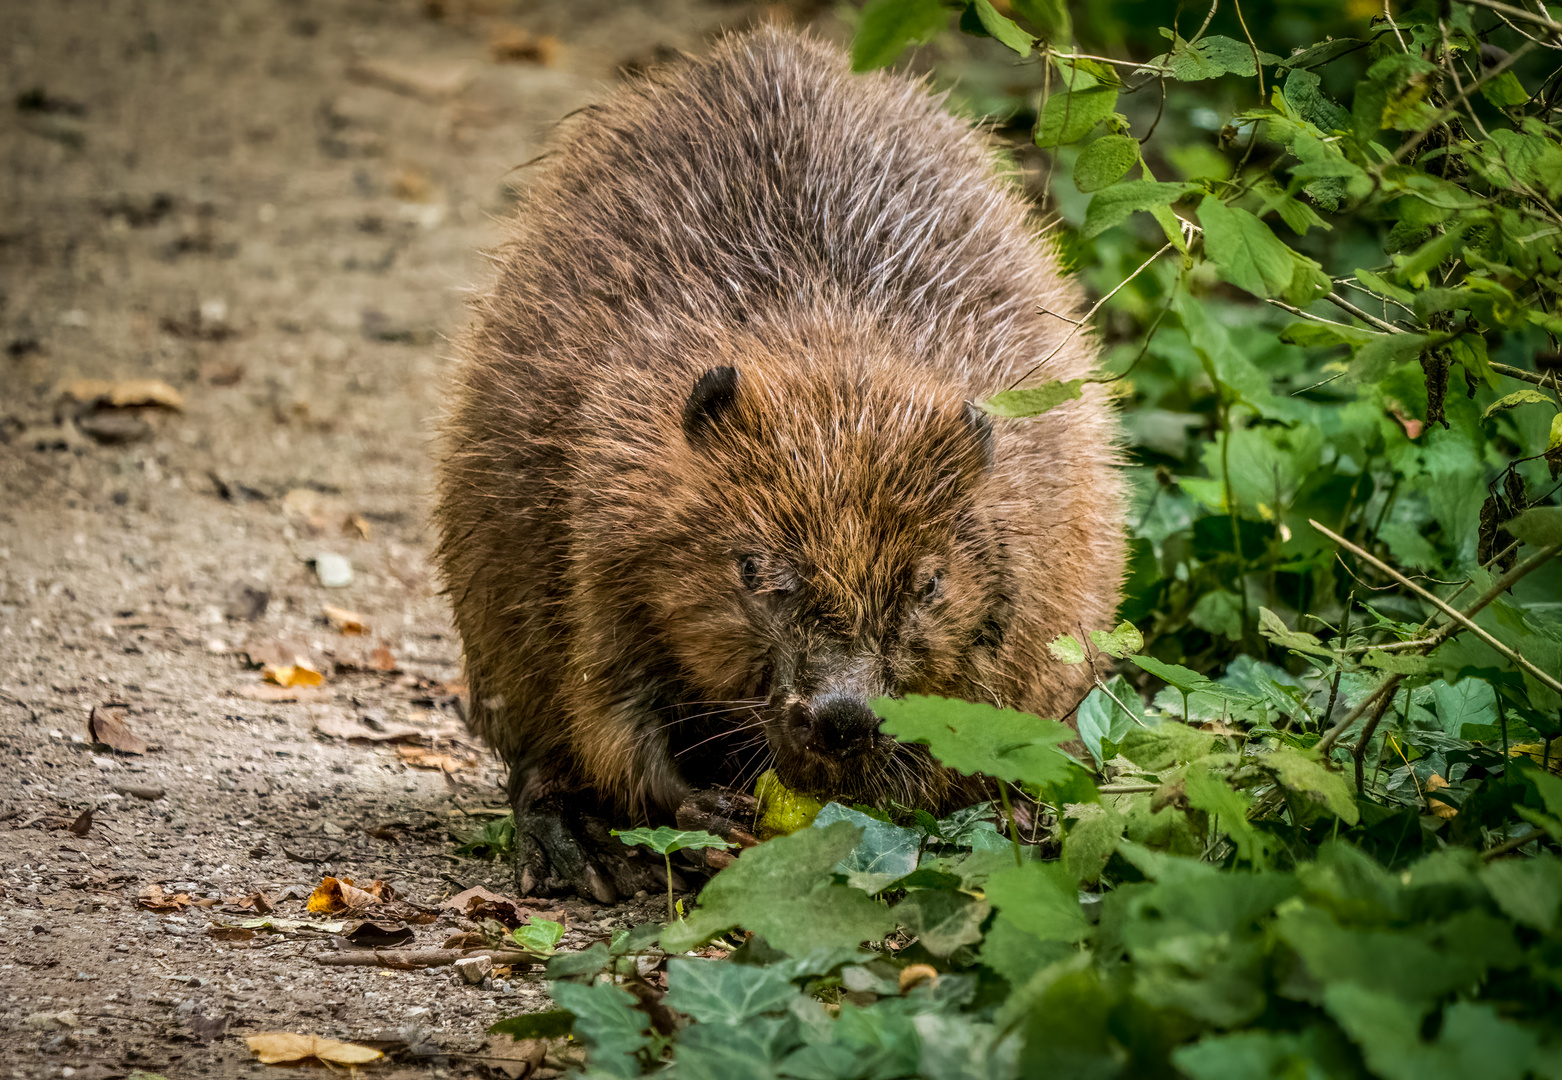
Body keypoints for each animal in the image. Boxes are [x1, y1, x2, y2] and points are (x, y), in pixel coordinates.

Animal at [437, 27, 1124, 906]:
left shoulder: (1041, 538)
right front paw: (702, 812)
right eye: (752, 568)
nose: (841, 718)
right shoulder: (601, 495)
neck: (828, 353)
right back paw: (569, 846)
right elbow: (603, 700)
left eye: (930, 583)